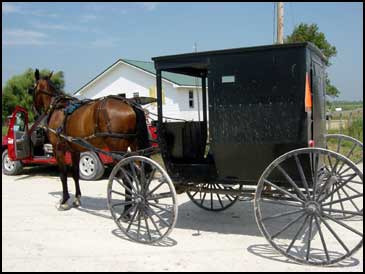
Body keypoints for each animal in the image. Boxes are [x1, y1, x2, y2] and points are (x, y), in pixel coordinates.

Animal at [31, 68, 150, 210]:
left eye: (31, 88)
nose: (34, 111)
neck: (58, 107)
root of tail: (130, 104)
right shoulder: (75, 150)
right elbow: (75, 173)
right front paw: (77, 198)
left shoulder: (58, 149)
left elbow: (63, 174)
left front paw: (64, 200)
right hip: (135, 146)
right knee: (140, 173)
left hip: (117, 149)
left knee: (128, 178)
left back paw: (127, 209)